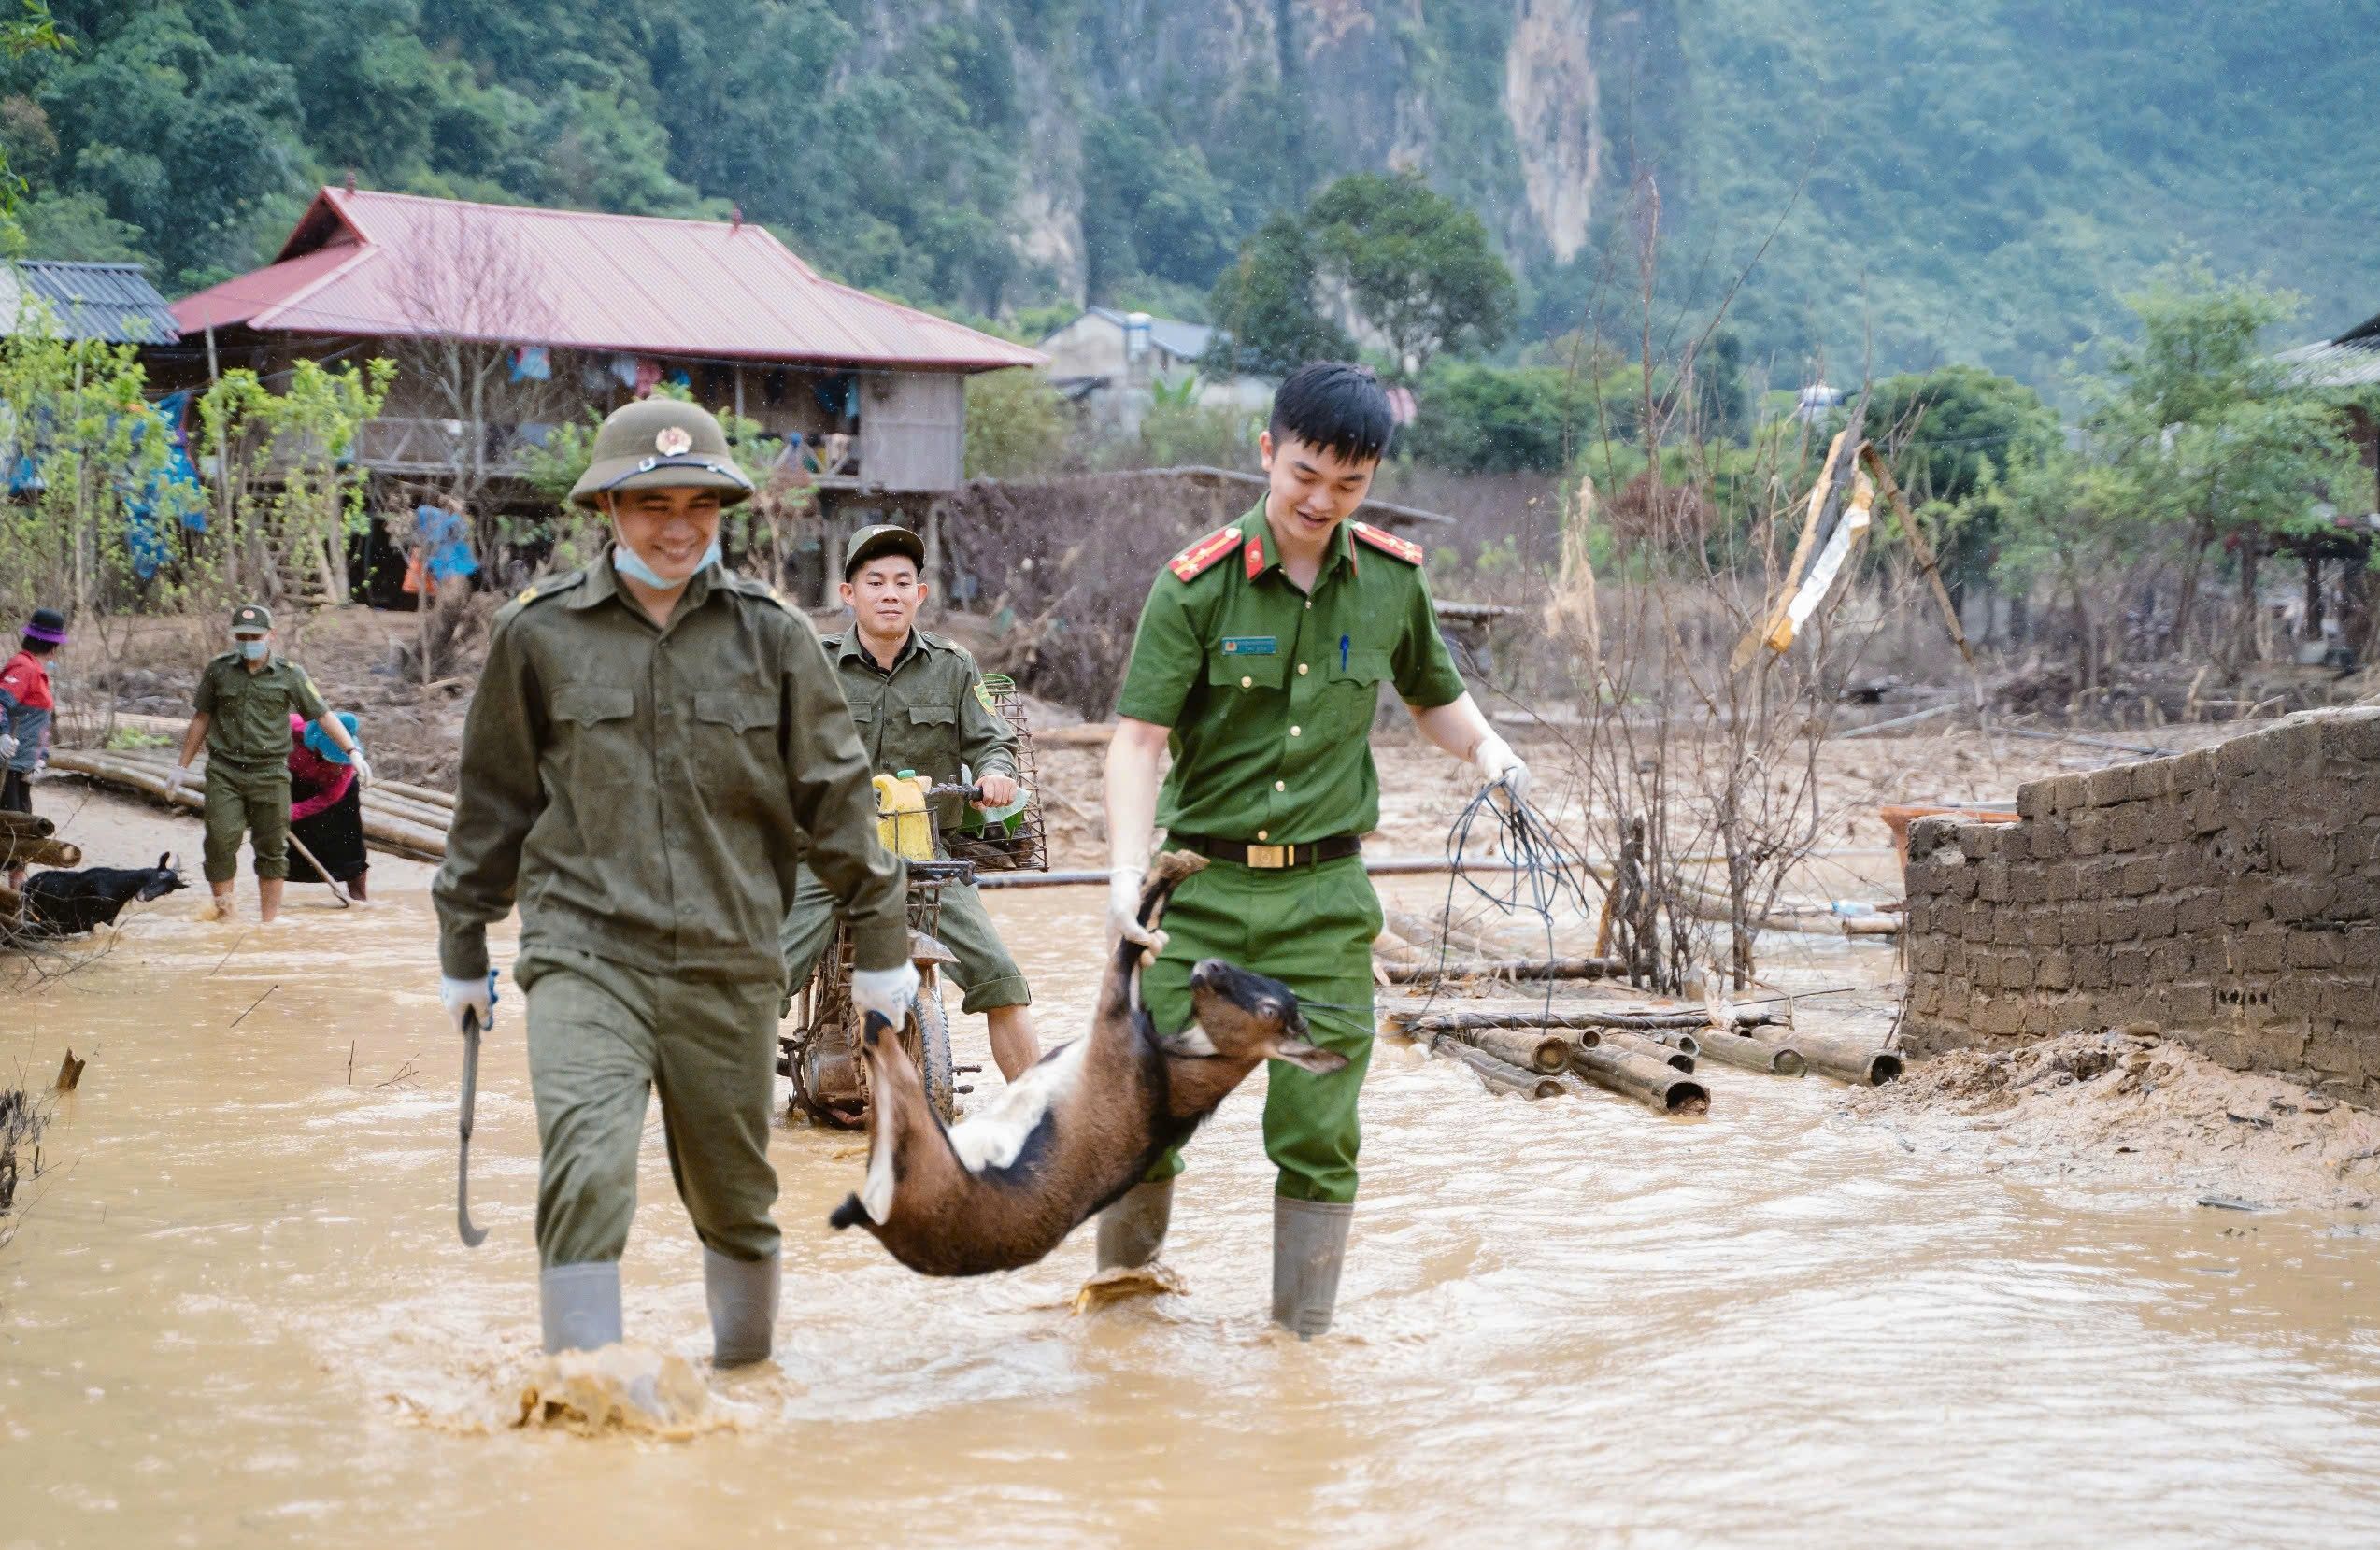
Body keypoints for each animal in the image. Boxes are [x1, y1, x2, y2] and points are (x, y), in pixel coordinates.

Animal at [19, 857, 188, 938]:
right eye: (158, 875)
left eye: (168, 890)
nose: (144, 896)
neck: (119, 888)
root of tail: (27, 884)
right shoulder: (89, 921)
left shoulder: (108, 920)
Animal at [823, 857, 1342, 1275]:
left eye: (1271, 1011)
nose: (1210, 966)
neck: (1169, 1081)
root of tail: (882, 1218)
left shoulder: (1110, 1018)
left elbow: (1129, 944)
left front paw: (1177, 866)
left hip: (912, 1122)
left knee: (879, 1044)